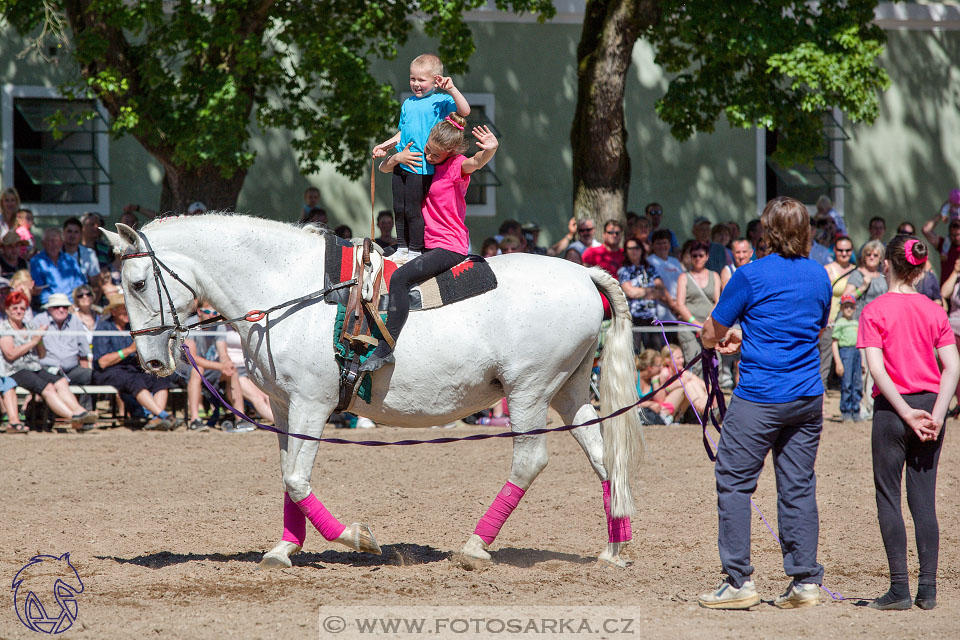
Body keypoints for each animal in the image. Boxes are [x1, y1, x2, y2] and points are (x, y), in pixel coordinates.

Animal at [99, 218, 644, 568]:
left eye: (138, 282)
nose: (150, 361)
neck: (288, 289)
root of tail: (581, 272)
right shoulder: (283, 405)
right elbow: (287, 478)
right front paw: (283, 550)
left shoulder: (312, 405)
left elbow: (297, 479)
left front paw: (356, 538)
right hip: (568, 392)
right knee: (605, 459)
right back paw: (613, 550)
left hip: (529, 391)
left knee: (530, 462)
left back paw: (474, 547)